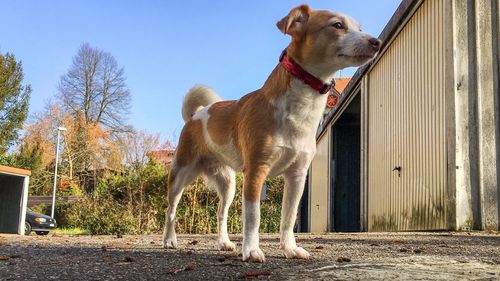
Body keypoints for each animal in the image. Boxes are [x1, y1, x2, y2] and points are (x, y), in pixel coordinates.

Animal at [162, 3, 380, 262]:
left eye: (360, 28)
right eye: (337, 25)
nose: (376, 41)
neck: (301, 105)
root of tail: (197, 115)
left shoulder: (297, 177)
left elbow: (288, 217)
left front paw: (290, 248)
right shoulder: (256, 173)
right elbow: (253, 217)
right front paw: (252, 250)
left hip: (228, 184)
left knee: (221, 213)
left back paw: (223, 242)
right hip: (181, 175)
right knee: (170, 210)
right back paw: (169, 240)